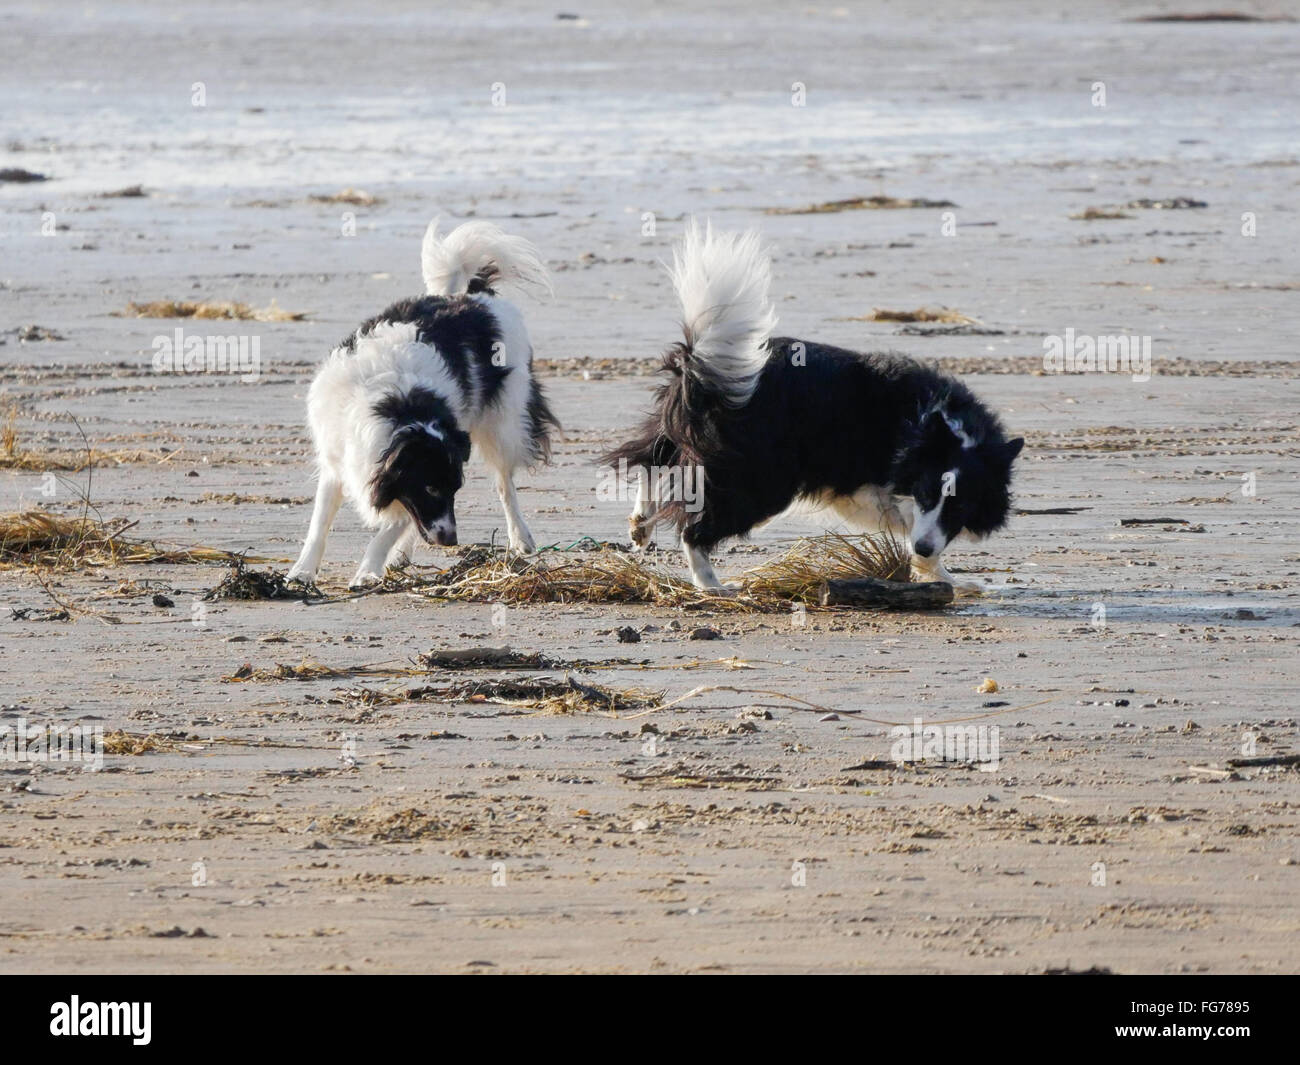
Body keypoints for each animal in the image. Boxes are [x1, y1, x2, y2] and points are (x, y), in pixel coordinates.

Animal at [287, 221, 556, 590]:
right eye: (431, 487)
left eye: (456, 488)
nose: (451, 541)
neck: (399, 404)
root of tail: (474, 295)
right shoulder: (337, 460)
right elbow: (320, 524)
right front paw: (302, 572)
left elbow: (392, 524)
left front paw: (368, 571)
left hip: (504, 424)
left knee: (505, 484)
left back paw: (521, 539)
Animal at [605, 222, 1024, 590]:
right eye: (926, 495)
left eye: (960, 507)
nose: (922, 548)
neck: (941, 430)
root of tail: (705, 368)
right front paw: (947, 577)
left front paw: (939, 571)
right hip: (763, 476)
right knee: (695, 527)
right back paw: (713, 585)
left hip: (684, 427)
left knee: (651, 457)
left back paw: (640, 525)